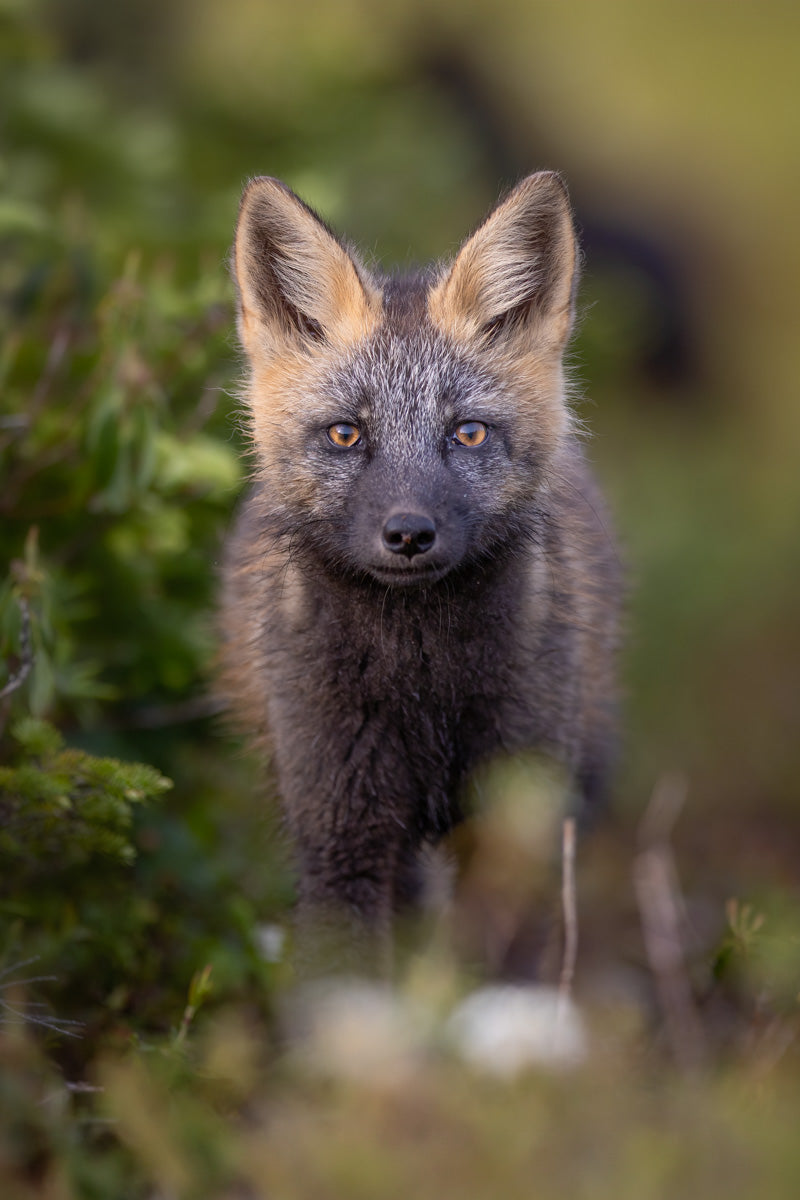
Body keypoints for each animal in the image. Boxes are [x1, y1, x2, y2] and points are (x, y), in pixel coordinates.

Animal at [220, 171, 620, 966]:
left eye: (467, 433)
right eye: (347, 434)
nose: (408, 534)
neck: (422, 684)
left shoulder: (511, 824)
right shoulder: (342, 832)